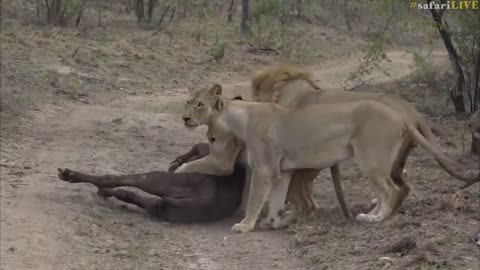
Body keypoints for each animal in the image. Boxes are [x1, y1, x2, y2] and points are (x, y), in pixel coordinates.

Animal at [57, 143, 246, 221]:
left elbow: (198, 146)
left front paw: (178, 161)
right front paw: (177, 161)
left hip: (157, 180)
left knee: (116, 180)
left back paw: (70, 175)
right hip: (163, 207)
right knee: (129, 194)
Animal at [177, 84, 480, 232]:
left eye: (199, 105)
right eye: (187, 102)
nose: (185, 118)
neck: (239, 118)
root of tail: (403, 116)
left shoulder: (264, 169)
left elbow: (255, 200)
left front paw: (246, 225)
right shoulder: (282, 172)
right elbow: (276, 200)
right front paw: (275, 222)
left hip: (370, 159)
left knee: (390, 190)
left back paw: (376, 219)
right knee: (390, 190)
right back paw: (370, 215)